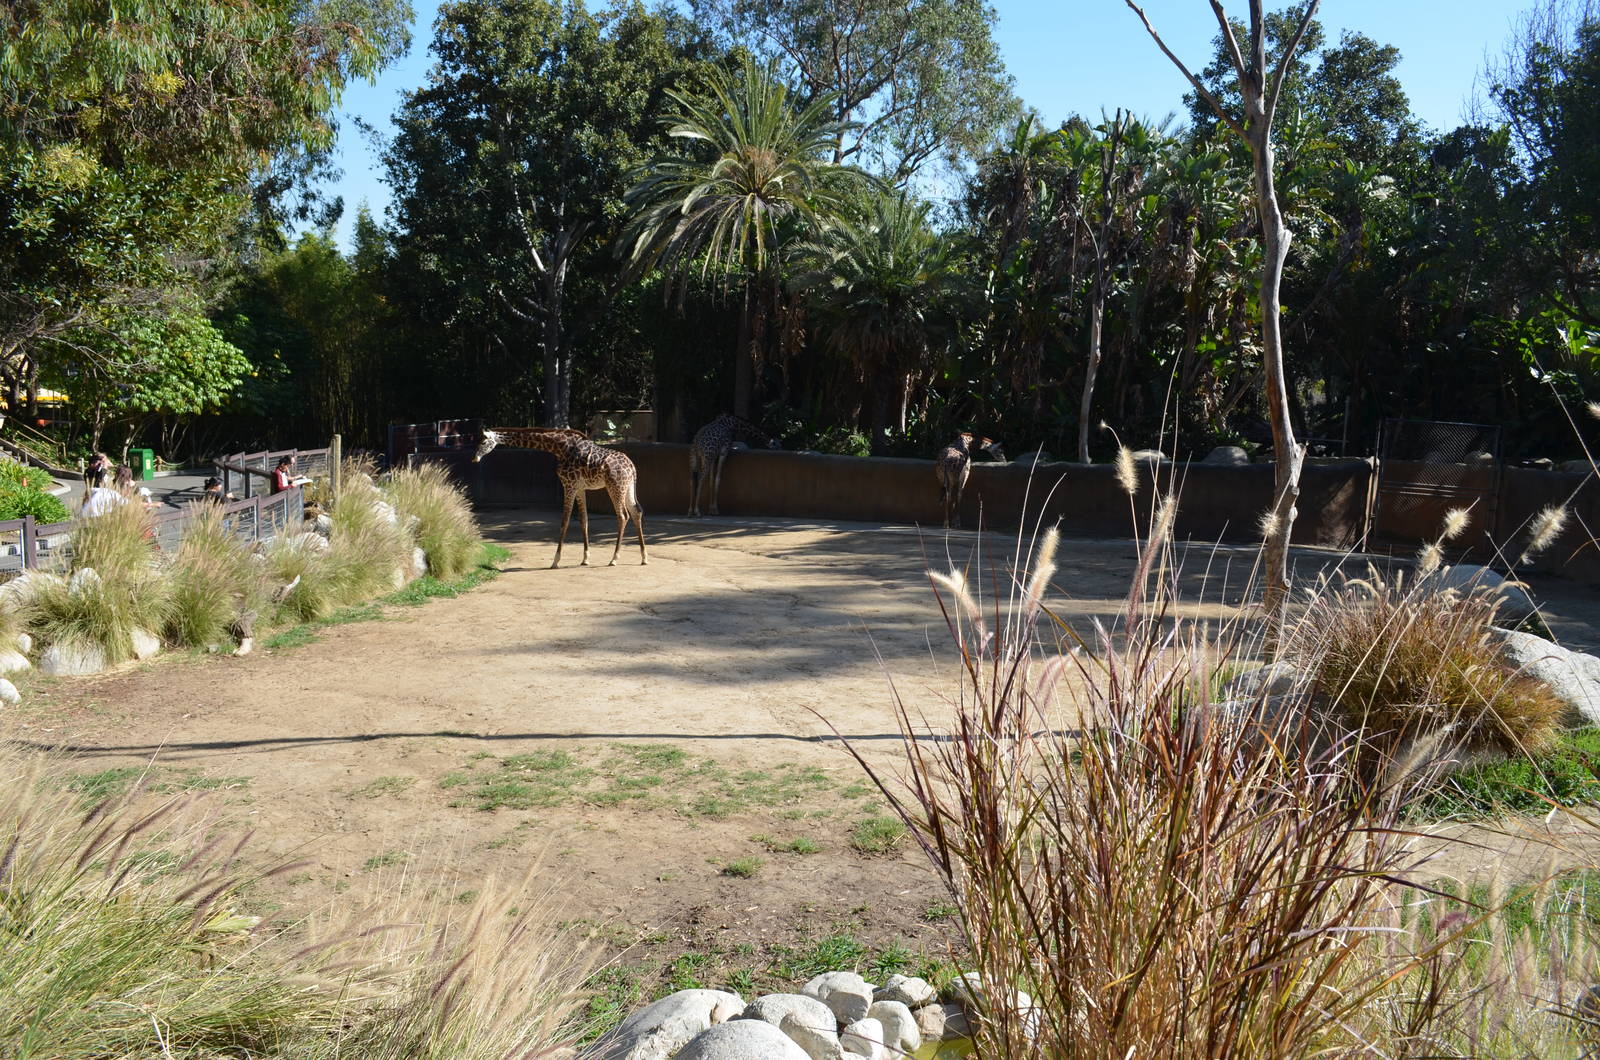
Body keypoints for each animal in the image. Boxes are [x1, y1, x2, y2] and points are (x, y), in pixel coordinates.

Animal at [474, 427, 647, 567]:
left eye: (483, 442)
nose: (474, 458)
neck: (559, 447)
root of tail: (632, 466)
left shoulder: (568, 485)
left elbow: (565, 521)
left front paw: (555, 561)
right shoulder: (580, 488)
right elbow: (584, 520)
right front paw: (585, 559)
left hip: (615, 487)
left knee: (623, 516)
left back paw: (614, 559)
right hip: (628, 487)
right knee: (636, 511)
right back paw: (644, 557)